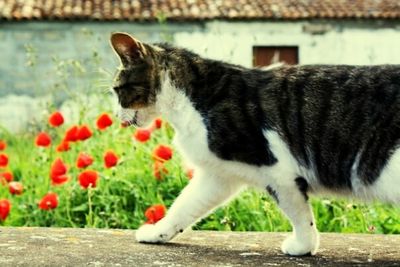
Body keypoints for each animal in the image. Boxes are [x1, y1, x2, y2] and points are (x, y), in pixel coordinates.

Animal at [108, 32, 400, 256]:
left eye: (117, 90)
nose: (116, 115)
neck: (190, 100)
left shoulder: (278, 172)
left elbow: (299, 214)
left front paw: (303, 247)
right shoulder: (218, 176)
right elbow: (183, 207)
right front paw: (158, 232)